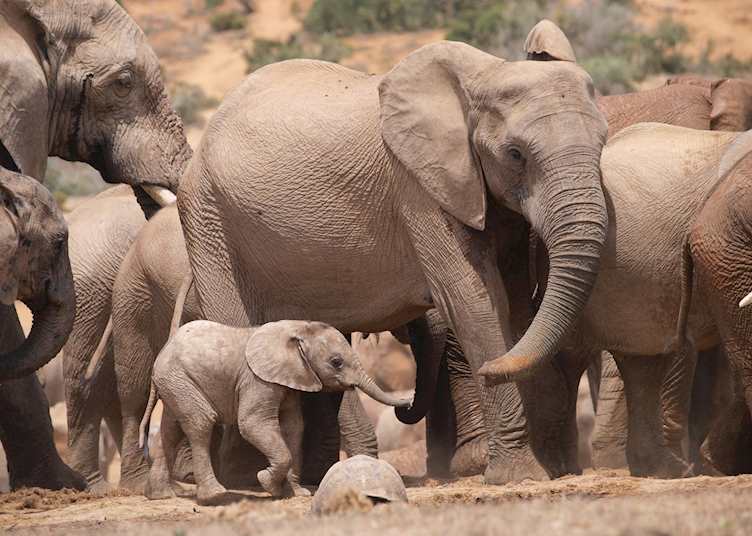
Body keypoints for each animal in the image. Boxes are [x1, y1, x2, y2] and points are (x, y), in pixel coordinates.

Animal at [141, 319, 410, 505]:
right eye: (336, 362)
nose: (407, 403)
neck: (298, 328)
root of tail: (162, 354)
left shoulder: (290, 380)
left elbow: (294, 426)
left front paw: (296, 493)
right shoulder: (256, 380)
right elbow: (253, 423)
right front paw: (266, 482)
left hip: (175, 384)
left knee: (171, 430)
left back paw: (161, 496)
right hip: (179, 379)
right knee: (201, 422)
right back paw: (215, 496)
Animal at [177, 39, 610, 485]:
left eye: (602, 143)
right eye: (515, 154)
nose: (490, 369)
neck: (486, 73)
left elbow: (519, 301)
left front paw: (553, 469)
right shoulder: (419, 189)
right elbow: (474, 301)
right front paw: (520, 476)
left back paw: (308, 479)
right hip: (209, 221)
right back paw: (246, 482)